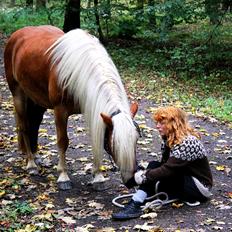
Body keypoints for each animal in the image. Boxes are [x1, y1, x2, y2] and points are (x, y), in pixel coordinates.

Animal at [4, 24, 140, 190]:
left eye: (136, 140)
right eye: (115, 143)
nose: (131, 181)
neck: (79, 70)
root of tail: (16, 35)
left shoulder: (92, 110)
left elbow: (95, 140)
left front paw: (98, 177)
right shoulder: (60, 111)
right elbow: (63, 141)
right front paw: (63, 176)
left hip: (36, 100)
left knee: (34, 124)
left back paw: (36, 156)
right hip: (19, 95)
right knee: (24, 127)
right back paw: (31, 164)